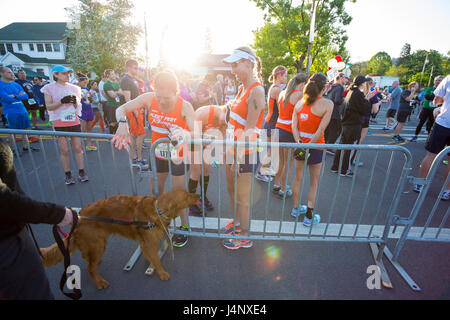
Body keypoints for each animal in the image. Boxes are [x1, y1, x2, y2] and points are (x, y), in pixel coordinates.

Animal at [40, 190, 199, 290]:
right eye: (186, 196)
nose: (198, 195)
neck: (158, 210)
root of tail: (78, 217)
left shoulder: (145, 243)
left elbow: (151, 257)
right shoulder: (148, 243)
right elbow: (156, 260)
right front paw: (161, 273)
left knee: (88, 259)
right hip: (98, 244)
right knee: (90, 268)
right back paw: (99, 282)